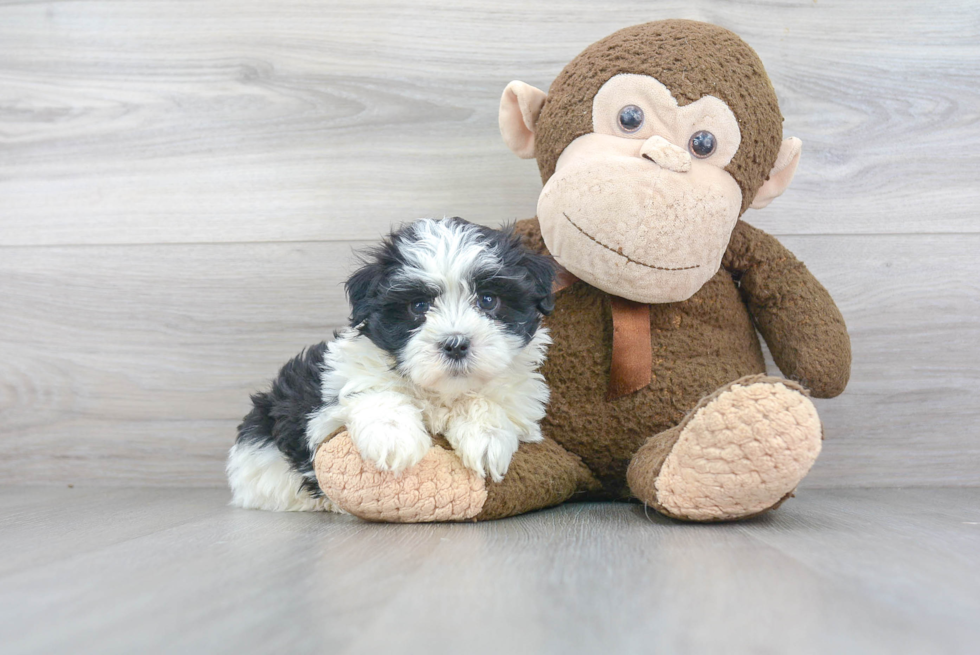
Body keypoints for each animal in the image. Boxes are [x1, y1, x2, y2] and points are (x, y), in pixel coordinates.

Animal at [225, 220, 556, 512]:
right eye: (419, 306)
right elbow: (377, 394)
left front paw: (487, 439)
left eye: (488, 300)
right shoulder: (326, 405)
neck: (441, 392)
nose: (455, 344)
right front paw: (394, 438)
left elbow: (488, 402)